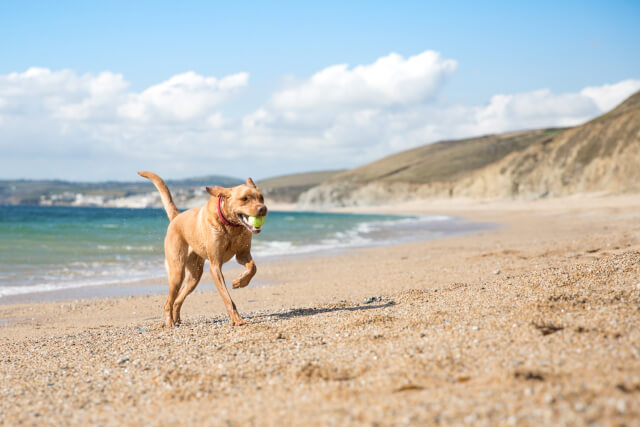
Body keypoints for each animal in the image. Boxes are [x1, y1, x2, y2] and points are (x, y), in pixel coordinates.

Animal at [139, 171, 268, 328]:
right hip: (177, 272)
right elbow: (227, 297)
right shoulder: (215, 265)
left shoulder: (242, 254)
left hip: (195, 276)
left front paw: (240, 281)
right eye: (244, 199)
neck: (232, 226)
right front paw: (237, 319)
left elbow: (253, 268)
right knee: (168, 302)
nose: (263, 208)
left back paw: (177, 319)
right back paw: (169, 322)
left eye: (261, 197)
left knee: (177, 299)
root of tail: (177, 216)